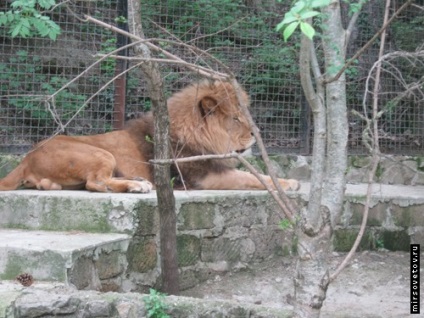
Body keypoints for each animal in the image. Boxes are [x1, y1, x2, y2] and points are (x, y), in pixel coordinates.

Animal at [0, 80, 298, 193]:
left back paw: (136, 181)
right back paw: (137, 186)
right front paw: (290, 183)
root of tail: (26, 158)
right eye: (235, 118)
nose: (256, 133)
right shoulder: (202, 177)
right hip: (99, 152)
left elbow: (259, 175)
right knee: (96, 183)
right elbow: (253, 177)